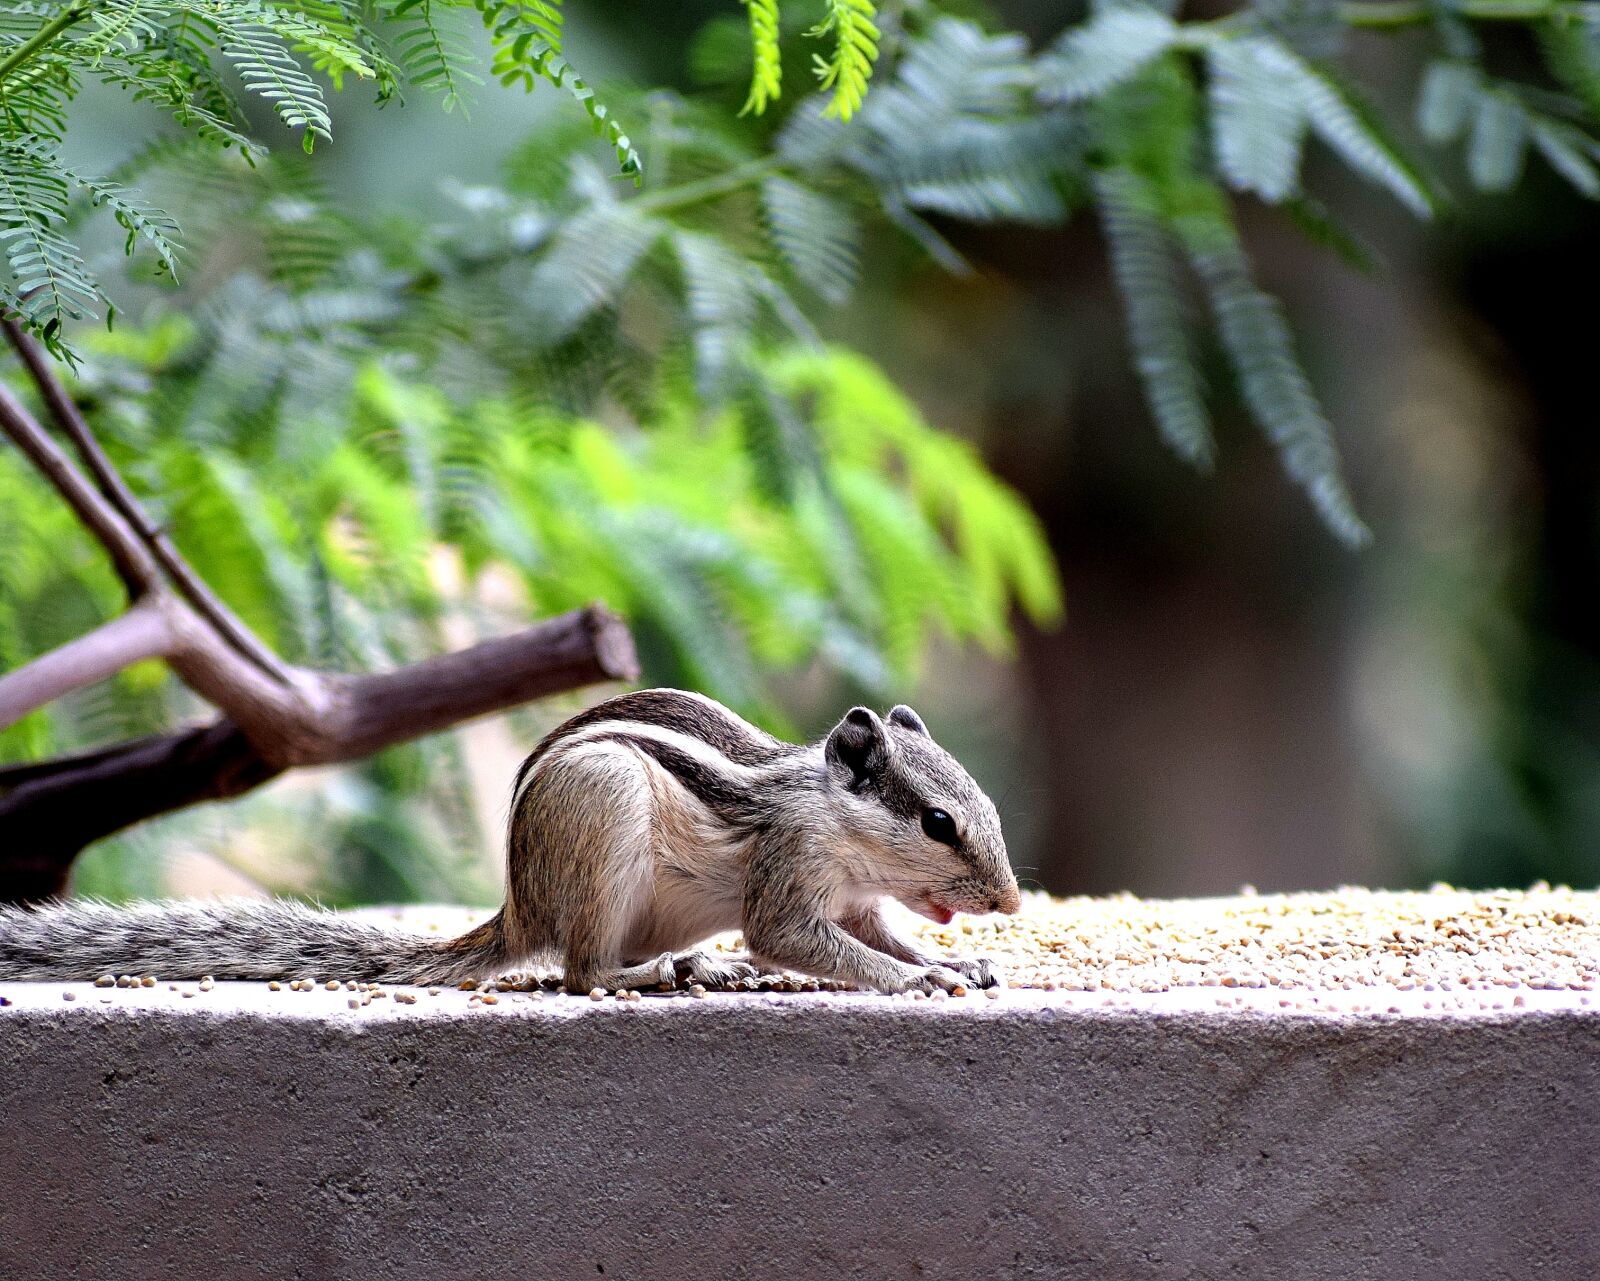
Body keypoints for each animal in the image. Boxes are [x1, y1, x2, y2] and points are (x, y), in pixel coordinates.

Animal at [0, 689, 1021, 994]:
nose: (1009, 900)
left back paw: (698, 967)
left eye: (987, 812)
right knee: (578, 971)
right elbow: (796, 940)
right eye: (938, 822)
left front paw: (956, 965)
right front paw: (915, 980)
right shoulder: (789, 872)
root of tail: (518, 908)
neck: (832, 813)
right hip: (604, 819)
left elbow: (882, 934)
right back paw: (661, 972)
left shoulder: (858, 898)